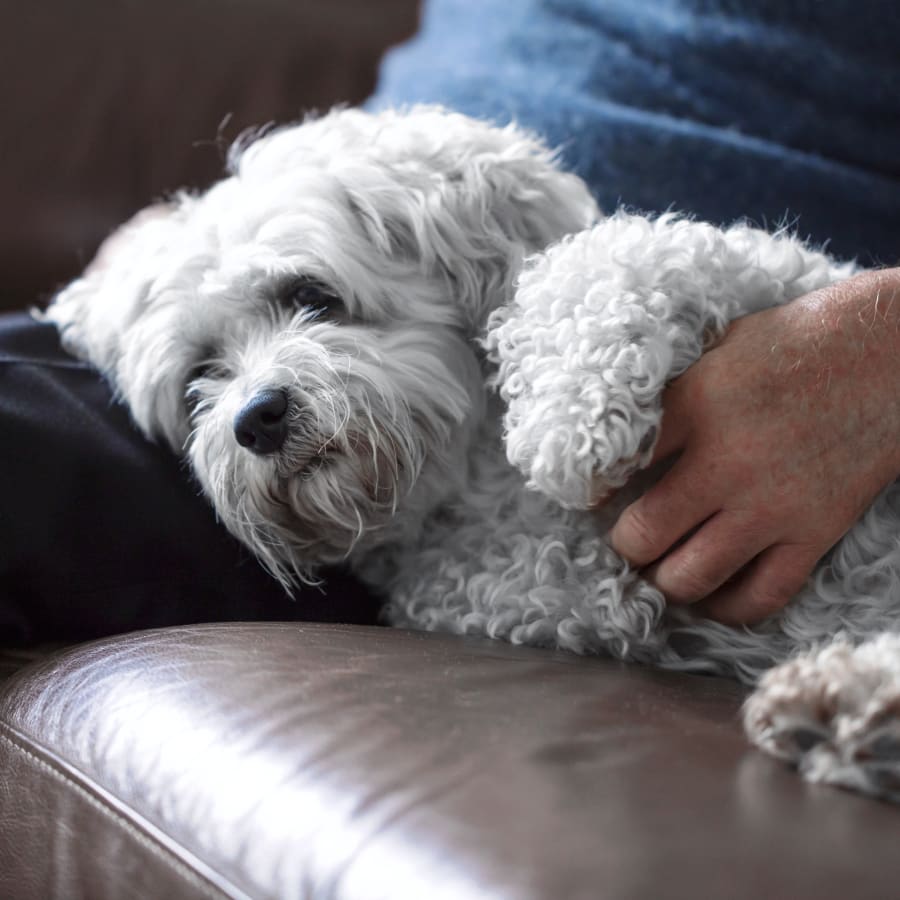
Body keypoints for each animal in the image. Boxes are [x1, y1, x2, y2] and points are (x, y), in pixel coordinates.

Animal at [45, 103, 900, 800]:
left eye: (311, 295)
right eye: (203, 373)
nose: (256, 418)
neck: (477, 480)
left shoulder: (779, 284)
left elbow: (619, 256)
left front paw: (567, 425)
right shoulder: (518, 589)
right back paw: (845, 711)